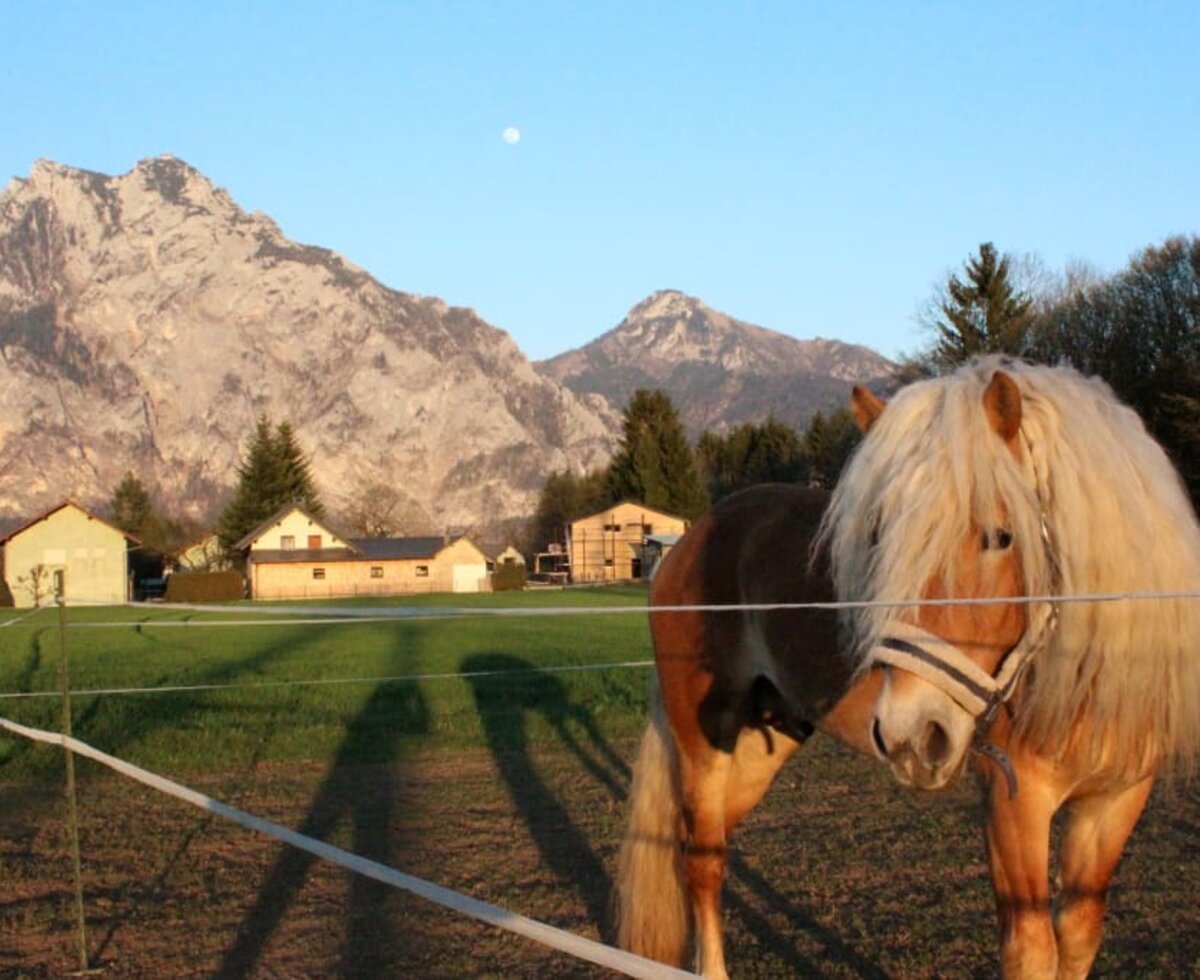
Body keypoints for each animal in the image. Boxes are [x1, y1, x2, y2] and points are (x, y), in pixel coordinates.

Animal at [619, 359, 1200, 978]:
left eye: (1001, 536)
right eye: (880, 538)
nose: (910, 735)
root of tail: (689, 541)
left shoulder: (1115, 803)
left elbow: (1079, 936)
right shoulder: (1015, 804)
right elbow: (1032, 949)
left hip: (761, 745)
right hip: (706, 737)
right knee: (702, 862)